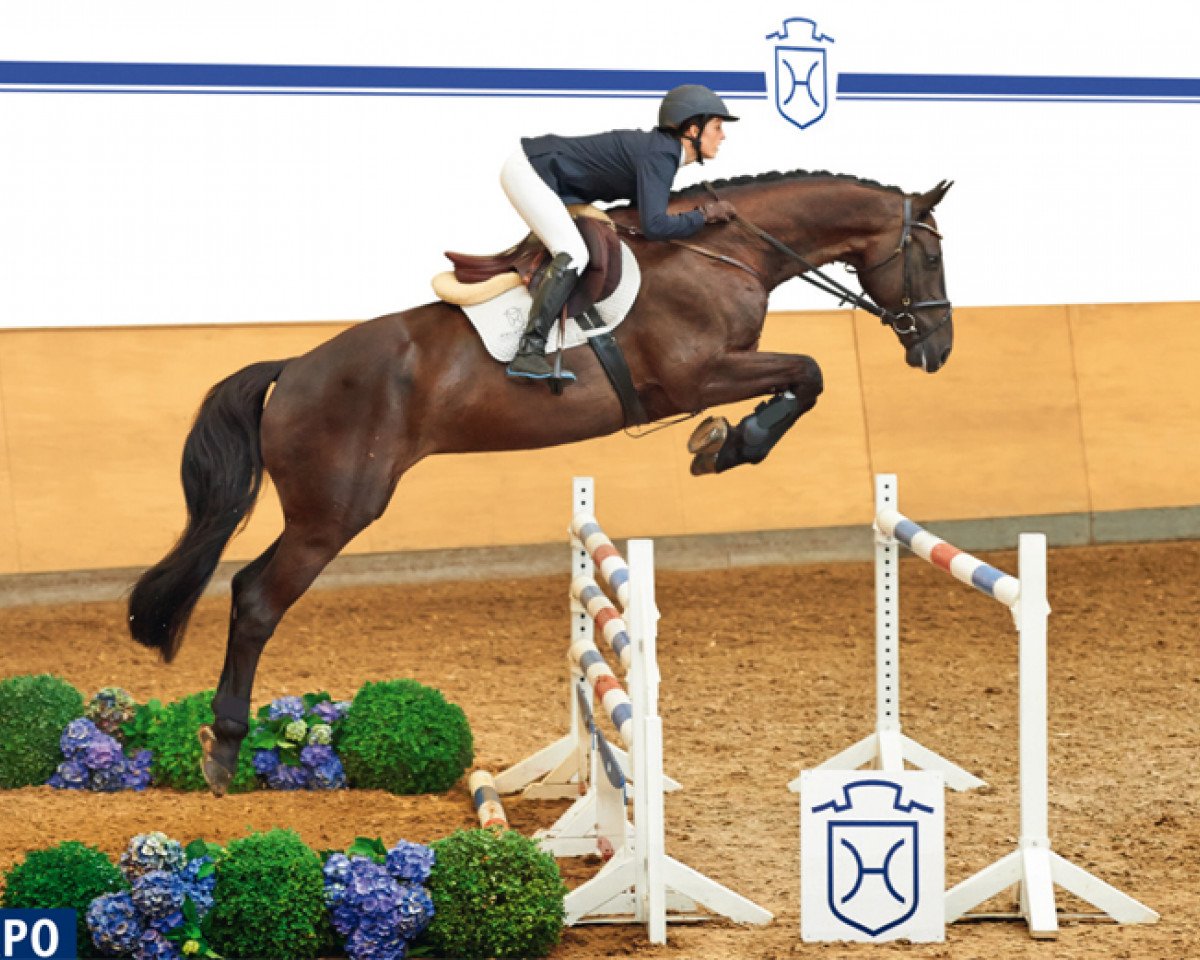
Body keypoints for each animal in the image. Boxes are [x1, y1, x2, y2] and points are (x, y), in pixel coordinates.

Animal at [127, 170, 954, 795]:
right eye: (931, 257)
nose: (939, 348)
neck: (723, 253)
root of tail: (293, 368)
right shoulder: (697, 375)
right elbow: (808, 374)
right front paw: (730, 444)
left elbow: (803, 378)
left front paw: (722, 441)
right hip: (334, 513)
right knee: (258, 601)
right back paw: (224, 750)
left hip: (321, 512)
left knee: (245, 587)